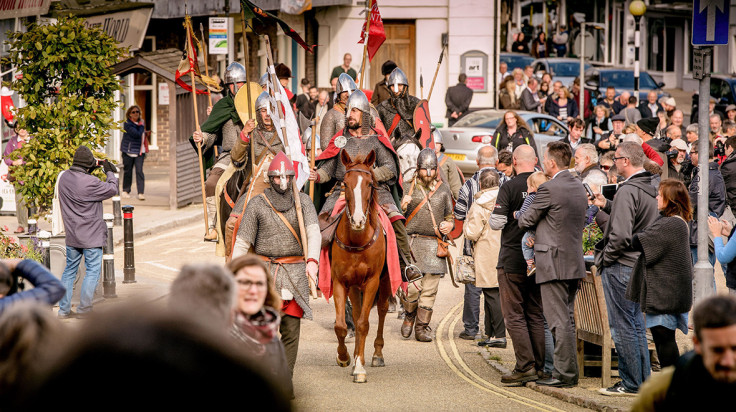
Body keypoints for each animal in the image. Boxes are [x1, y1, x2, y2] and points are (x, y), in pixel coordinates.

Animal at [332, 150, 394, 384]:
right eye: (345, 183)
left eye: (369, 184)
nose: (358, 220)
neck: (357, 239)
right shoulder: (340, 282)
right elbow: (341, 325)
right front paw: (344, 358)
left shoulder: (372, 282)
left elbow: (363, 324)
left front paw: (359, 368)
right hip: (354, 287)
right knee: (357, 312)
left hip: (384, 282)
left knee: (382, 310)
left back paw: (376, 355)